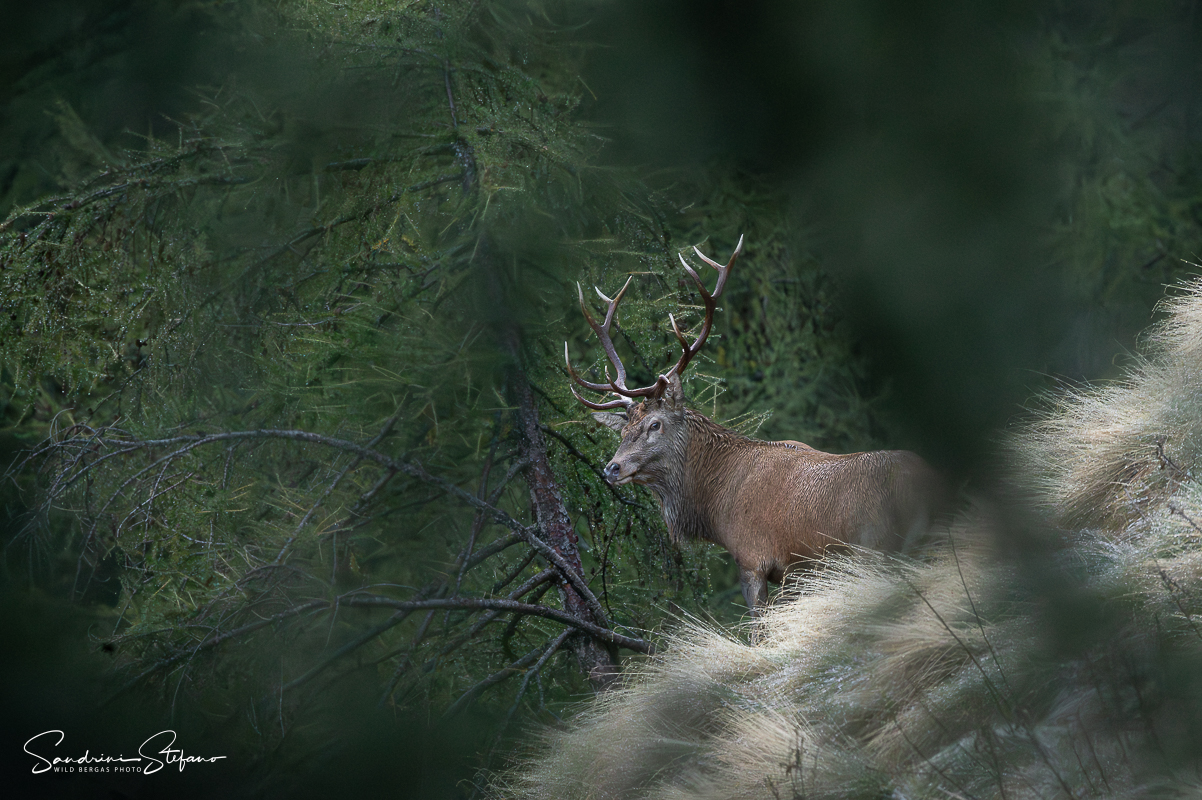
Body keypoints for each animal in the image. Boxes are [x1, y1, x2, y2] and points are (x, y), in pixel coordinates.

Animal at [565, 236, 948, 616]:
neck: (715, 501)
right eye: (623, 431)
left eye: (655, 424)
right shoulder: (796, 574)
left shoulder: (754, 558)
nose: (612, 468)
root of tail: (938, 490)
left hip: (882, 548)